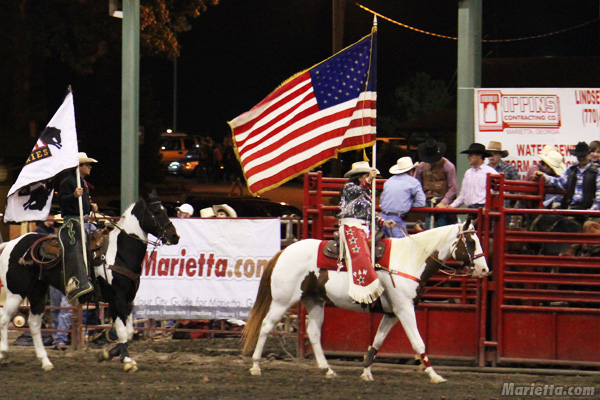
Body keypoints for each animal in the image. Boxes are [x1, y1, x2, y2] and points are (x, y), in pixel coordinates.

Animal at [0, 194, 179, 372]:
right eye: (156, 212)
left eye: (165, 210)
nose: (175, 236)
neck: (119, 253)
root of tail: (10, 244)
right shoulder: (117, 298)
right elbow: (122, 331)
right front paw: (127, 360)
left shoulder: (128, 299)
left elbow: (129, 332)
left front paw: (107, 354)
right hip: (16, 292)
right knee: (4, 318)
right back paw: (3, 353)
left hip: (37, 291)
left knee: (34, 323)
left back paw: (46, 362)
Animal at [241, 220, 490, 382]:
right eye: (471, 241)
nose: (484, 270)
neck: (409, 260)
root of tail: (283, 252)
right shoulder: (405, 309)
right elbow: (418, 342)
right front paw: (435, 375)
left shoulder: (392, 313)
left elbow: (377, 341)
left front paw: (366, 371)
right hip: (283, 301)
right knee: (266, 326)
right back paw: (256, 366)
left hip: (315, 301)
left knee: (313, 332)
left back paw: (327, 369)